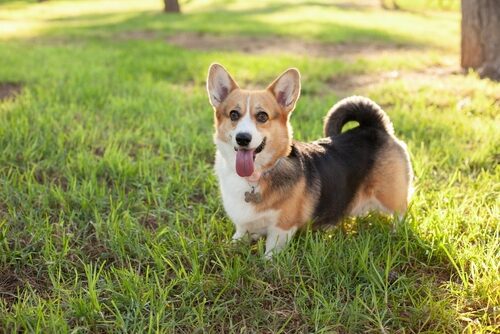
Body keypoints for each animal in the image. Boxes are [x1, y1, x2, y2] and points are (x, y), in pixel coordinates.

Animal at [205, 64, 412, 258]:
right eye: (233, 114)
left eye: (262, 116)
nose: (242, 138)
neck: (255, 177)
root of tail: (375, 127)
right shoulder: (243, 228)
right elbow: (236, 239)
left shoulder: (281, 229)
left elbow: (270, 252)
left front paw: (266, 263)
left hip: (390, 195)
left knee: (400, 213)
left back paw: (395, 232)